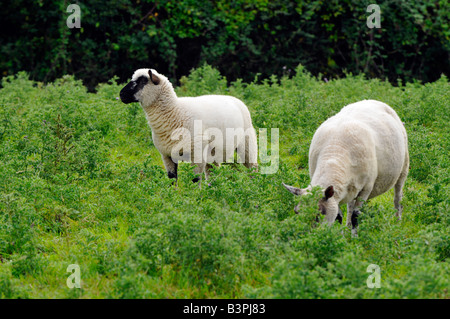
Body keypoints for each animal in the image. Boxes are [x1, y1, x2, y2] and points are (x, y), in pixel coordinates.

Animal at [119, 69, 258, 184]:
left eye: (142, 81)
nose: (121, 94)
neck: (175, 112)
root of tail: (235, 99)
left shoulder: (197, 154)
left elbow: (195, 179)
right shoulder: (167, 155)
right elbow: (172, 179)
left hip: (247, 144)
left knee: (253, 168)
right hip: (213, 151)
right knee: (212, 172)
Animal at [284, 100, 410, 235]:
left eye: (319, 213)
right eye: (296, 211)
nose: (305, 236)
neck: (334, 155)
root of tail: (371, 100)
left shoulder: (366, 188)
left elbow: (356, 215)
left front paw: (354, 237)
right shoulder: (337, 193)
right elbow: (338, 216)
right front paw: (340, 235)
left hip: (403, 169)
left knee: (397, 198)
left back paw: (397, 222)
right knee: (350, 205)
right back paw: (348, 226)